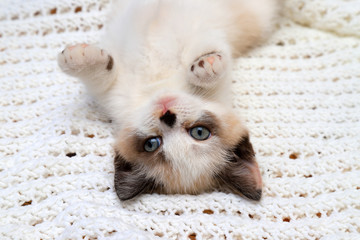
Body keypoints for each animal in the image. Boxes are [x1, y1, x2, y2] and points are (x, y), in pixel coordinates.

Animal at [58, 0, 278, 201]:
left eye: (199, 133)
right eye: (152, 144)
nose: (167, 116)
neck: (160, 85)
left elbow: (212, 56)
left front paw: (207, 66)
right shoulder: (114, 94)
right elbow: (103, 75)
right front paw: (78, 57)